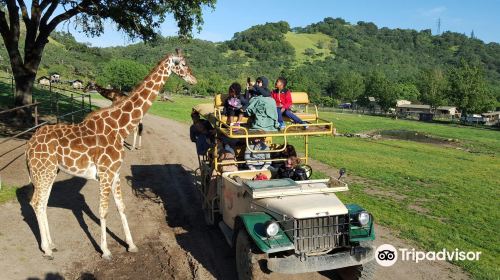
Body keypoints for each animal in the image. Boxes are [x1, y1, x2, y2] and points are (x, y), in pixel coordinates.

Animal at [25, 48, 195, 260]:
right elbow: (103, 211)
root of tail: (29, 145)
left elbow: (121, 207)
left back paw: (52, 245)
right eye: (182, 64)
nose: (194, 80)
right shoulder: (105, 173)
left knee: (42, 203)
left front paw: (131, 245)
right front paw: (105, 251)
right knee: (36, 202)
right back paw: (47, 250)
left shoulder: (115, 173)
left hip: (49, 172)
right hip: (43, 171)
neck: (119, 127)